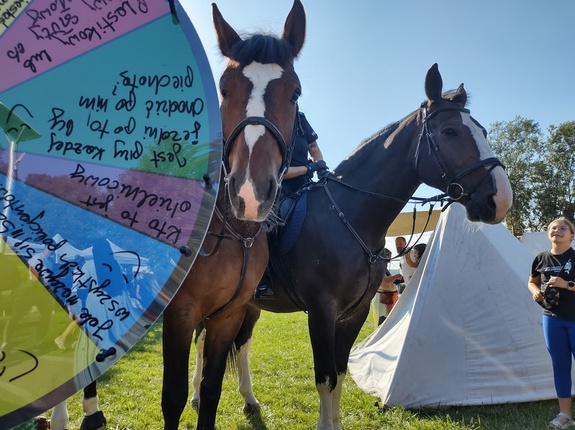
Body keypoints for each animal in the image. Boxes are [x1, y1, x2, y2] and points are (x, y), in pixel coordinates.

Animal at [160, 2, 308, 430]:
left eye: (294, 93)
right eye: (224, 89)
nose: (250, 192)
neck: (230, 234)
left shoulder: (229, 315)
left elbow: (212, 390)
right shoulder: (179, 314)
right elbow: (172, 398)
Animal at [192, 62, 512, 430]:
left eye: (482, 130)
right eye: (449, 131)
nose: (501, 199)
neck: (350, 217)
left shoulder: (353, 313)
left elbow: (341, 374)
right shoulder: (321, 310)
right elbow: (325, 377)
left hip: (249, 306)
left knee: (242, 346)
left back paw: (249, 400)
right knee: (201, 341)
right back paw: (197, 396)